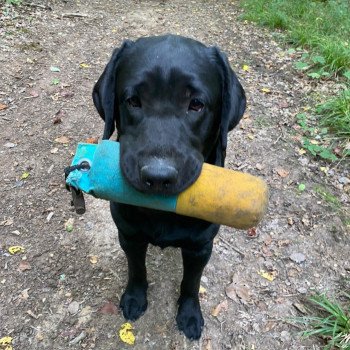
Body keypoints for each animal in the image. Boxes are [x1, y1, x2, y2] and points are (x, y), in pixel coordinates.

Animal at [93, 34, 246, 340]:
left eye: (196, 104)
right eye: (133, 101)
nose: (158, 176)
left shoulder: (200, 246)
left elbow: (191, 283)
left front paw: (189, 314)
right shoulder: (129, 234)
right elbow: (136, 269)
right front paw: (134, 297)